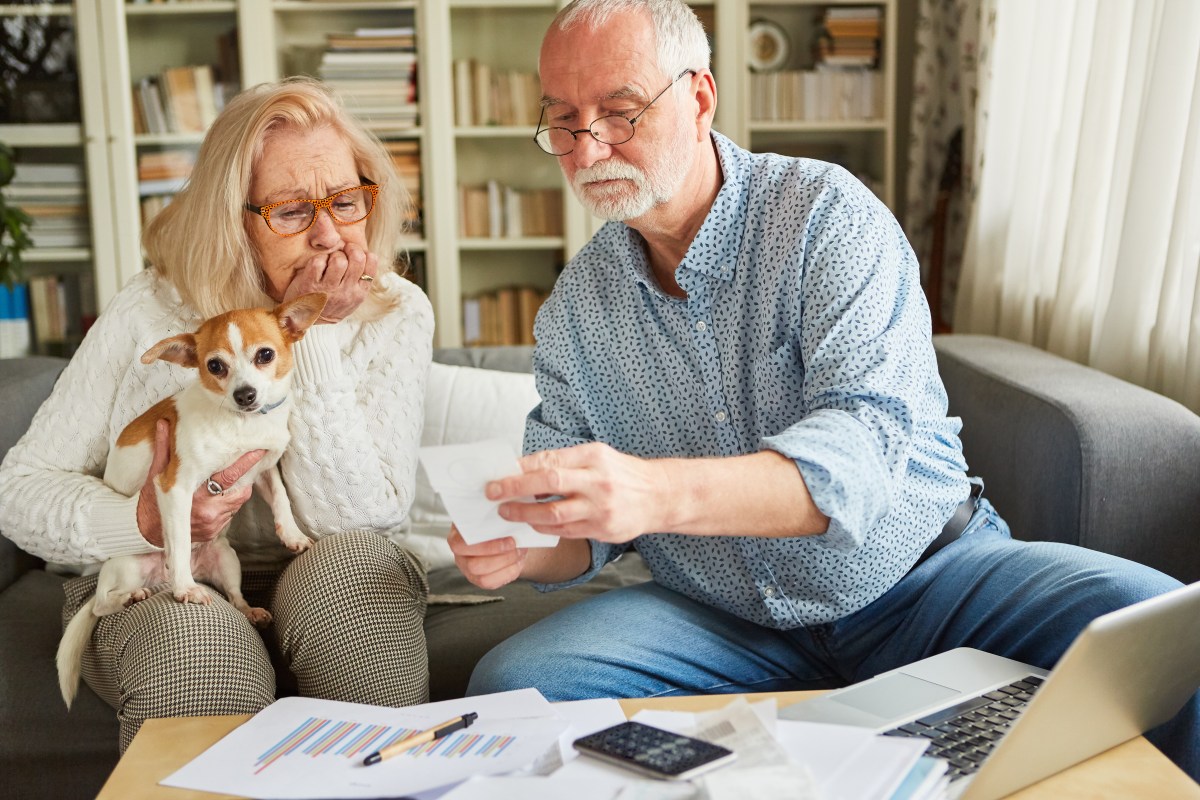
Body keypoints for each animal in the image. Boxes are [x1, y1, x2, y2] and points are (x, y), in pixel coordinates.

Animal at [56, 292, 328, 705]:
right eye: (214, 365)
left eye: (265, 355)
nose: (244, 394)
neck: (243, 424)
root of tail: (156, 581)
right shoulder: (176, 488)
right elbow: (181, 540)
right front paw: (185, 587)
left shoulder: (263, 470)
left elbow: (280, 497)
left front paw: (292, 535)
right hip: (128, 567)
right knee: (103, 602)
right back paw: (136, 595)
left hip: (227, 559)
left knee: (234, 594)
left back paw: (250, 610)